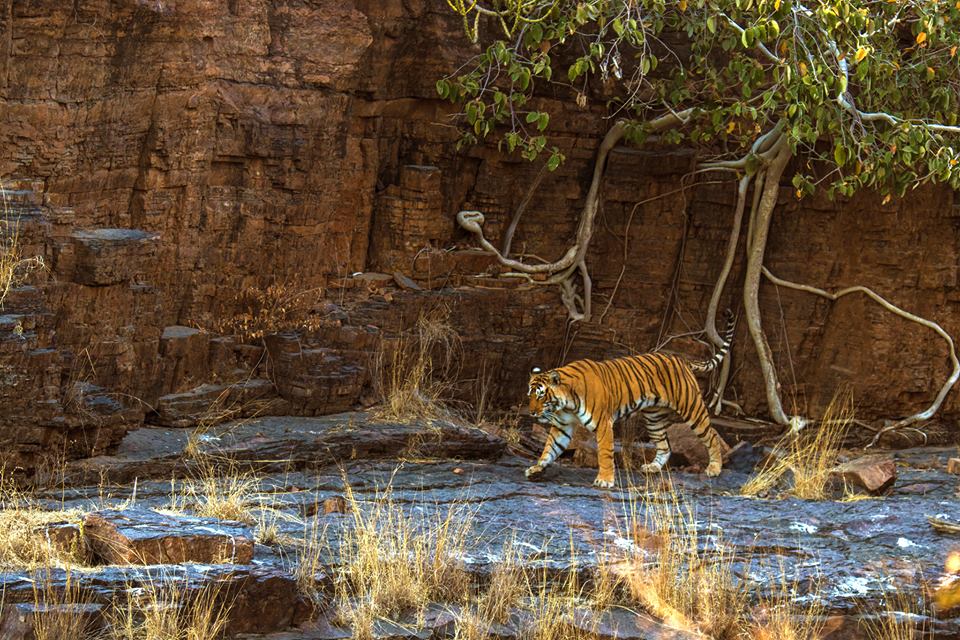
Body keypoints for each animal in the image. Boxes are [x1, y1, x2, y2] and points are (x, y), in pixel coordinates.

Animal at [525, 312, 735, 488]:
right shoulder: (562, 425)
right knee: (665, 446)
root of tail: (682, 360)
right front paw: (536, 468)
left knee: (712, 436)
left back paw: (714, 468)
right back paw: (652, 468)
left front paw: (605, 480)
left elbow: (605, 453)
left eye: (541, 395)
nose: (532, 412)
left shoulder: (604, 424)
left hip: (692, 409)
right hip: (654, 419)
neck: (567, 404)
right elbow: (549, 449)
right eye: (530, 395)